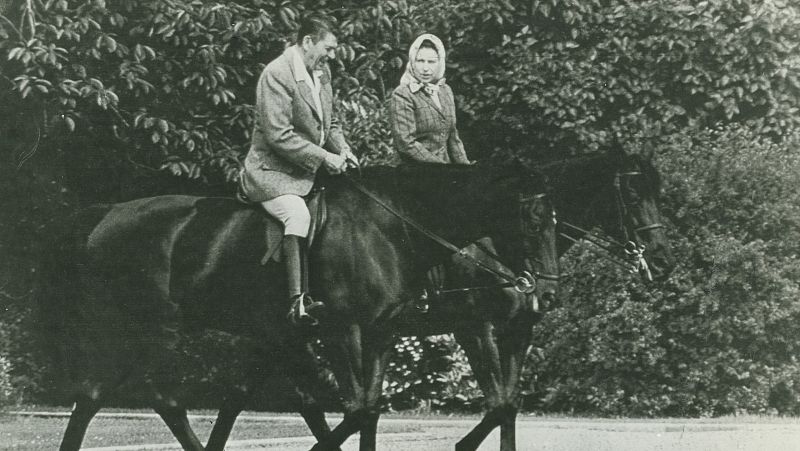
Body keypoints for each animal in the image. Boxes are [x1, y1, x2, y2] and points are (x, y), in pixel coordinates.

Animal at [37, 163, 560, 451]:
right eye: (535, 221)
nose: (546, 293)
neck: (390, 229)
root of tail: (104, 216)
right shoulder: (358, 330)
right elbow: (359, 409)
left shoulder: (380, 332)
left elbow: (370, 410)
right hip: (147, 329)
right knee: (129, 396)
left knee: (115, 397)